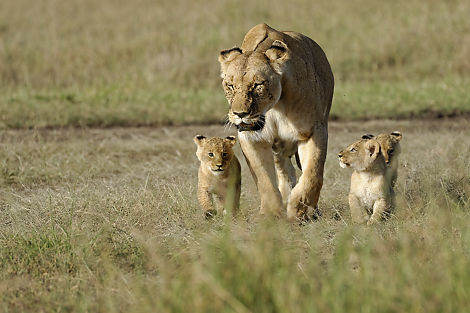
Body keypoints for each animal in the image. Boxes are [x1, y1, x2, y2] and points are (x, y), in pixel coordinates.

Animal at [218, 23, 332, 219]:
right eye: (230, 85)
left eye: (257, 85)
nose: (240, 114)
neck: (274, 109)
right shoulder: (251, 138)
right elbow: (264, 179)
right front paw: (272, 213)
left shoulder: (314, 131)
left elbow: (313, 173)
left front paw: (300, 208)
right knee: (284, 170)